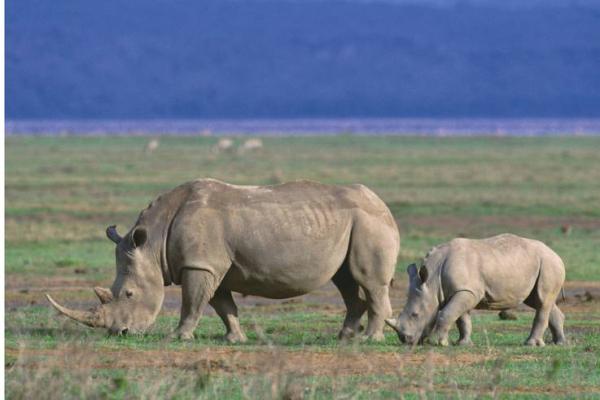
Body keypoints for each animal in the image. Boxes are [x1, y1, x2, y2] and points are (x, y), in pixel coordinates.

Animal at [47, 180, 398, 342]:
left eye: (129, 294)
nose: (119, 333)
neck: (154, 241)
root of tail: (384, 205)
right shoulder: (209, 265)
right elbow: (222, 305)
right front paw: (235, 338)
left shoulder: (199, 264)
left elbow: (192, 303)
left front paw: (177, 337)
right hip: (355, 223)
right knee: (346, 281)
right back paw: (344, 338)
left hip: (370, 224)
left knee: (368, 282)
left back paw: (369, 339)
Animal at [386, 234, 564, 346]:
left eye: (415, 315)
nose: (405, 340)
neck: (432, 280)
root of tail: (557, 255)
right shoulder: (462, 291)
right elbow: (462, 319)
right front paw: (462, 344)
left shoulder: (466, 291)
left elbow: (447, 314)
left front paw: (438, 343)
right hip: (539, 264)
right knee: (538, 301)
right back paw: (559, 343)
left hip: (548, 264)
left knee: (542, 301)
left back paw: (530, 344)